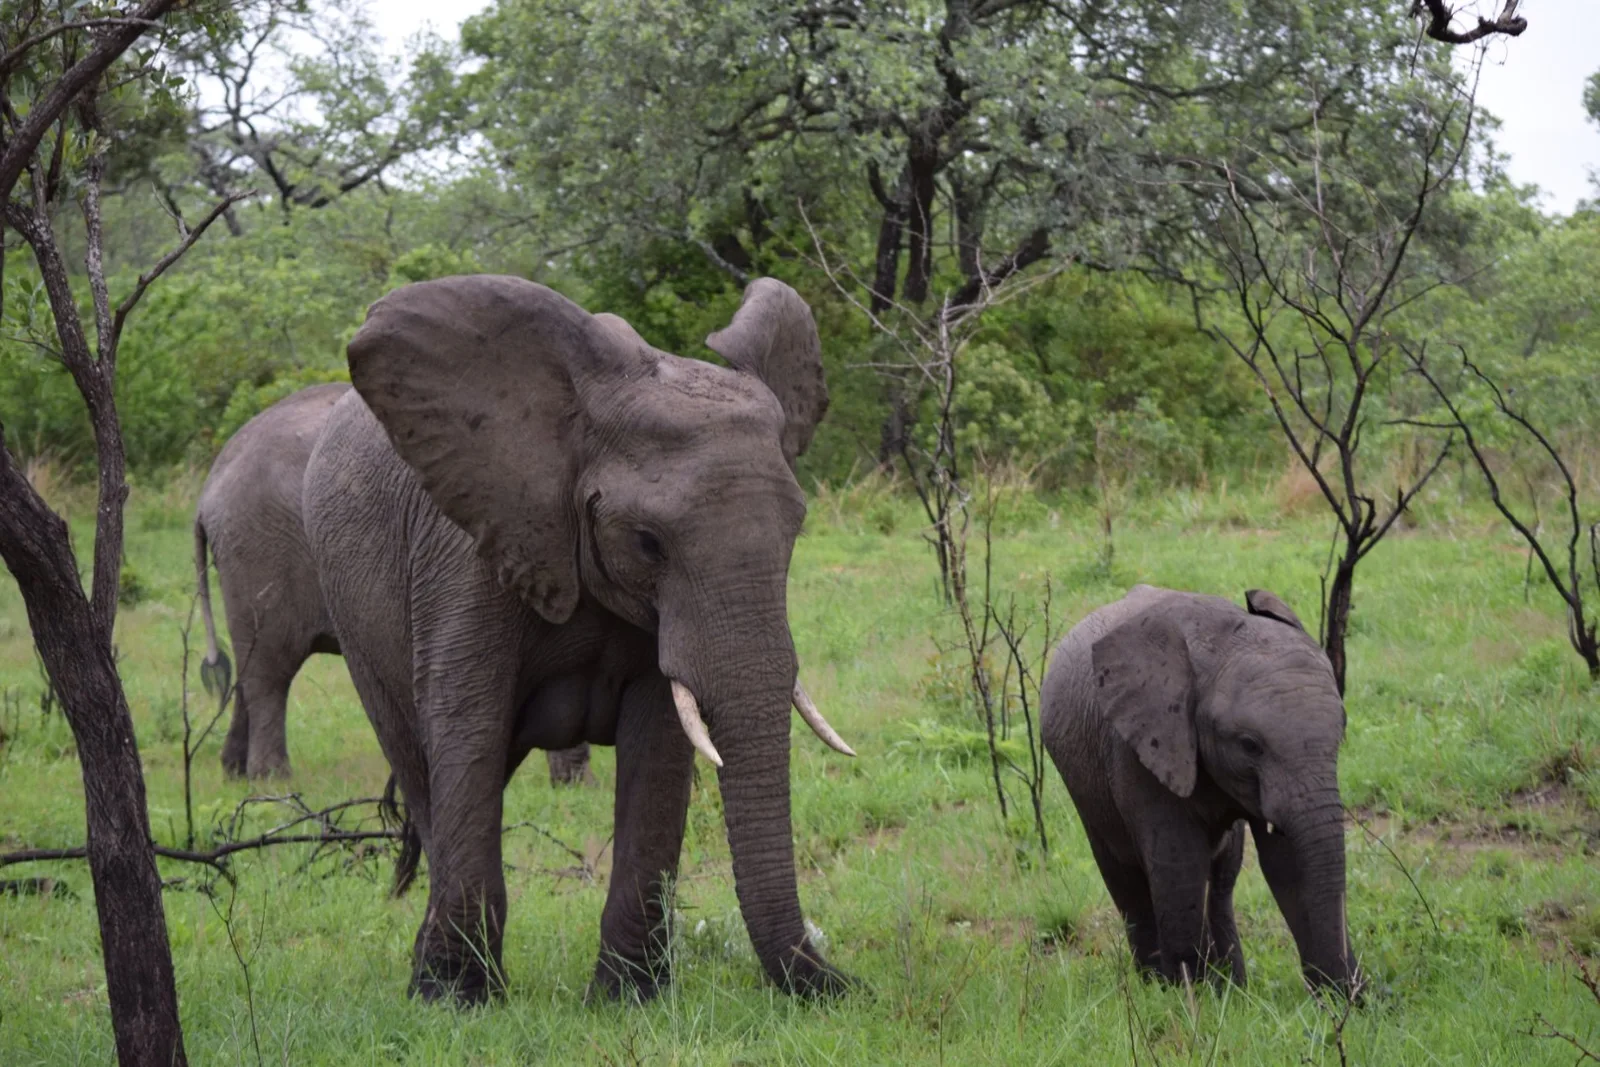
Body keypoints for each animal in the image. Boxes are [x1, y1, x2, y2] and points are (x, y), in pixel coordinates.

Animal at [195, 382, 592, 786]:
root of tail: (210, 489)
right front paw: (573, 786)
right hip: (262, 553)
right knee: (271, 670)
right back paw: (273, 780)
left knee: (248, 666)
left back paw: (234, 773)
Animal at [301, 274, 856, 1006]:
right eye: (648, 542)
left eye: (797, 527)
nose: (844, 984)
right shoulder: (472, 550)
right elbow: (467, 728)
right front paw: (459, 1000)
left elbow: (660, 745)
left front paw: (629, 999)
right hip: (353, 607)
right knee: (419, 762)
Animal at [1040, 584, 1358, 994]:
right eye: (1250, 745)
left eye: (1341, 729)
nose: (1360, 994)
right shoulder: (1140, 746)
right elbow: (1179, 864)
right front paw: (1188, 998)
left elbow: (1287, 862)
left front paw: (1338, 999)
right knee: (1127, 881)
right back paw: (1157, 985)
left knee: (1222, 878)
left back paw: (1233, 987)